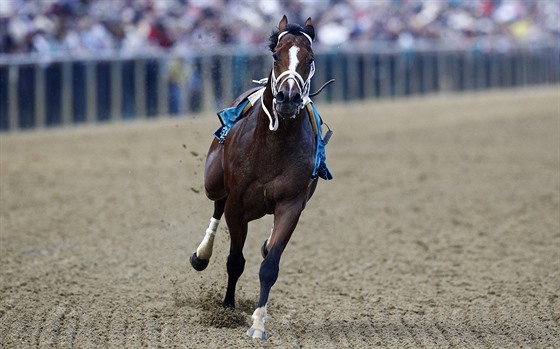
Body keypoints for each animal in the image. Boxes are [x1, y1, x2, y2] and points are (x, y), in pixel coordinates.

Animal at [191, 15, 332, 338]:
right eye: (276, 56)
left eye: (310, 58)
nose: (288, 97)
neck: (274, 144)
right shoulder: (238, 203)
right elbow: (235, 261)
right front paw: (227, 307)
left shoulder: (291, 204)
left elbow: (269, 265)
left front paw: (257, 324)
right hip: (214, 181)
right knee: (216, 205)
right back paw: (201, 255)